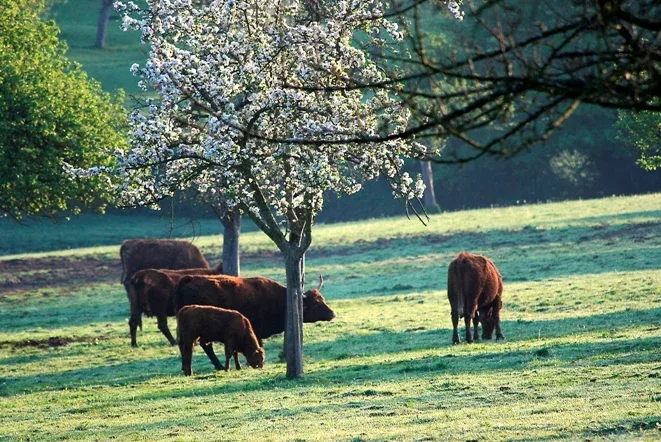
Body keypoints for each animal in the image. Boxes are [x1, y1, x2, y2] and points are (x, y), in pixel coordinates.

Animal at [174, 274, 336, 368]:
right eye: (316, 304)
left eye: (322, 299)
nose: (332, 313)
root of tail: (190, 278)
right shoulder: (254, 330)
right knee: (203, 346)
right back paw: (218, 366)